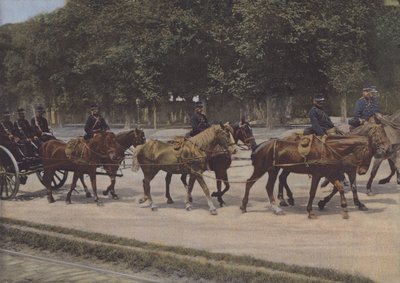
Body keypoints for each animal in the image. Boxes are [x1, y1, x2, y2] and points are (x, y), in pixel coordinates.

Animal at [241, 135, 376, 220]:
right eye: (369, 152)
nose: (362, 171)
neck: (328, 149)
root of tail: (258, 146)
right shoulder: (318, 174)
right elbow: (312, 192)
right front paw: (310, 211)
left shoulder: (329, 173)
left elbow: (340, 188)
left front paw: (344, 209)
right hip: (262, 169)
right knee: (251, 183)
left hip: (273, 170)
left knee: (268, 185)